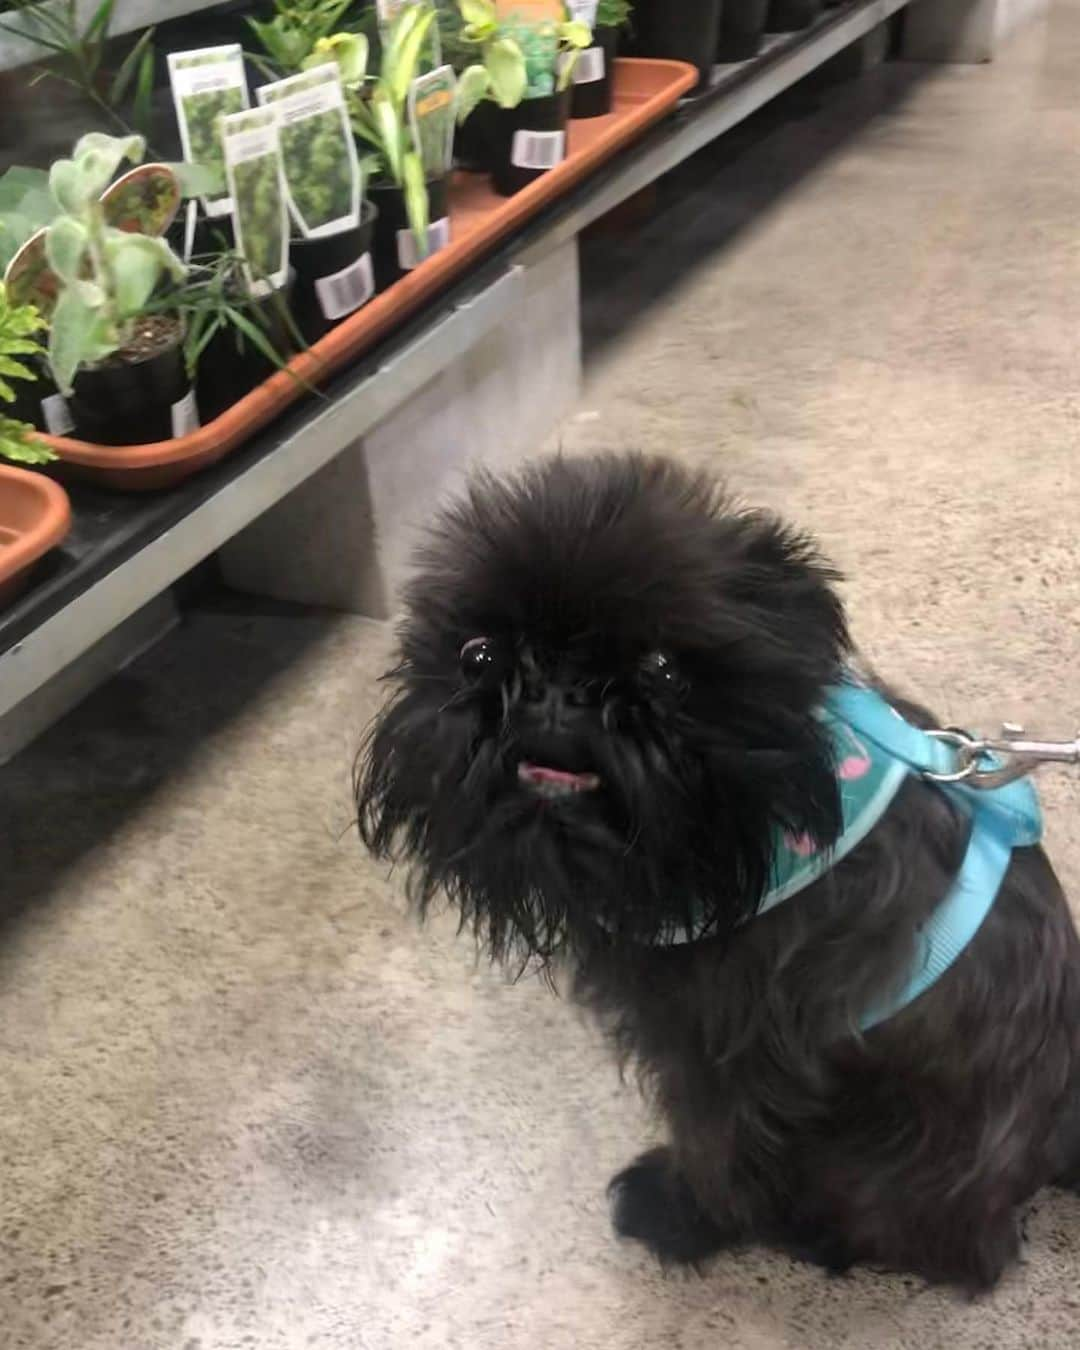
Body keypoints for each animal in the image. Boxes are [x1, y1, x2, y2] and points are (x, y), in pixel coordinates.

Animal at [359, 453, 1080, 1285]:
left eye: (664, 671)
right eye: (477, 655)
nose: (555, 690)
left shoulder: (721, 1063)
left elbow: (719, 1156)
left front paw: (679, 1217)